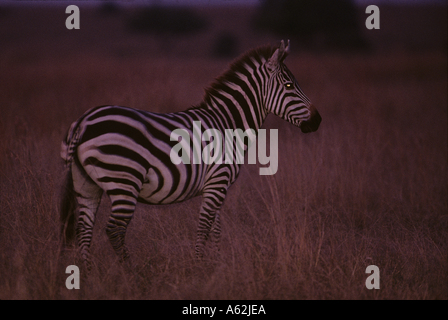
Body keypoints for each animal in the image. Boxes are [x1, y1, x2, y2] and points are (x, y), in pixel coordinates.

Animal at [60, 40, 322, 270]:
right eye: (289, 86)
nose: (317, 120)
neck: (228, 123)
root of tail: (83, 122)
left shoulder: (216, 185)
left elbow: (215, 228)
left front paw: (217, 266)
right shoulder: (218, 181)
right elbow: (204, 226)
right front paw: (199, 267)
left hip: (86, 184)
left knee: (84, 229)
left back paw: (89, 274)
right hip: (123, 180)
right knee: (114, 230)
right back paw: (131, 273)